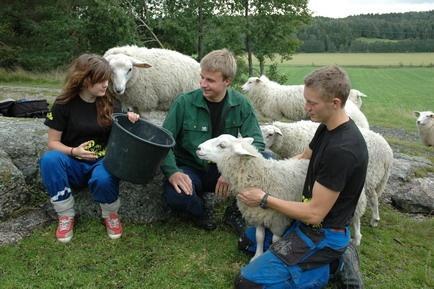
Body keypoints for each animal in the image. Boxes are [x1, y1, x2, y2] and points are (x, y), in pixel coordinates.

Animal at [262, 119, 394, 234]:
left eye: (270, 134)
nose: (261, 145)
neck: (291, 137)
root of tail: (388, 153)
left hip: (371, 176)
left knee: (374, 198)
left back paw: (375, 219)